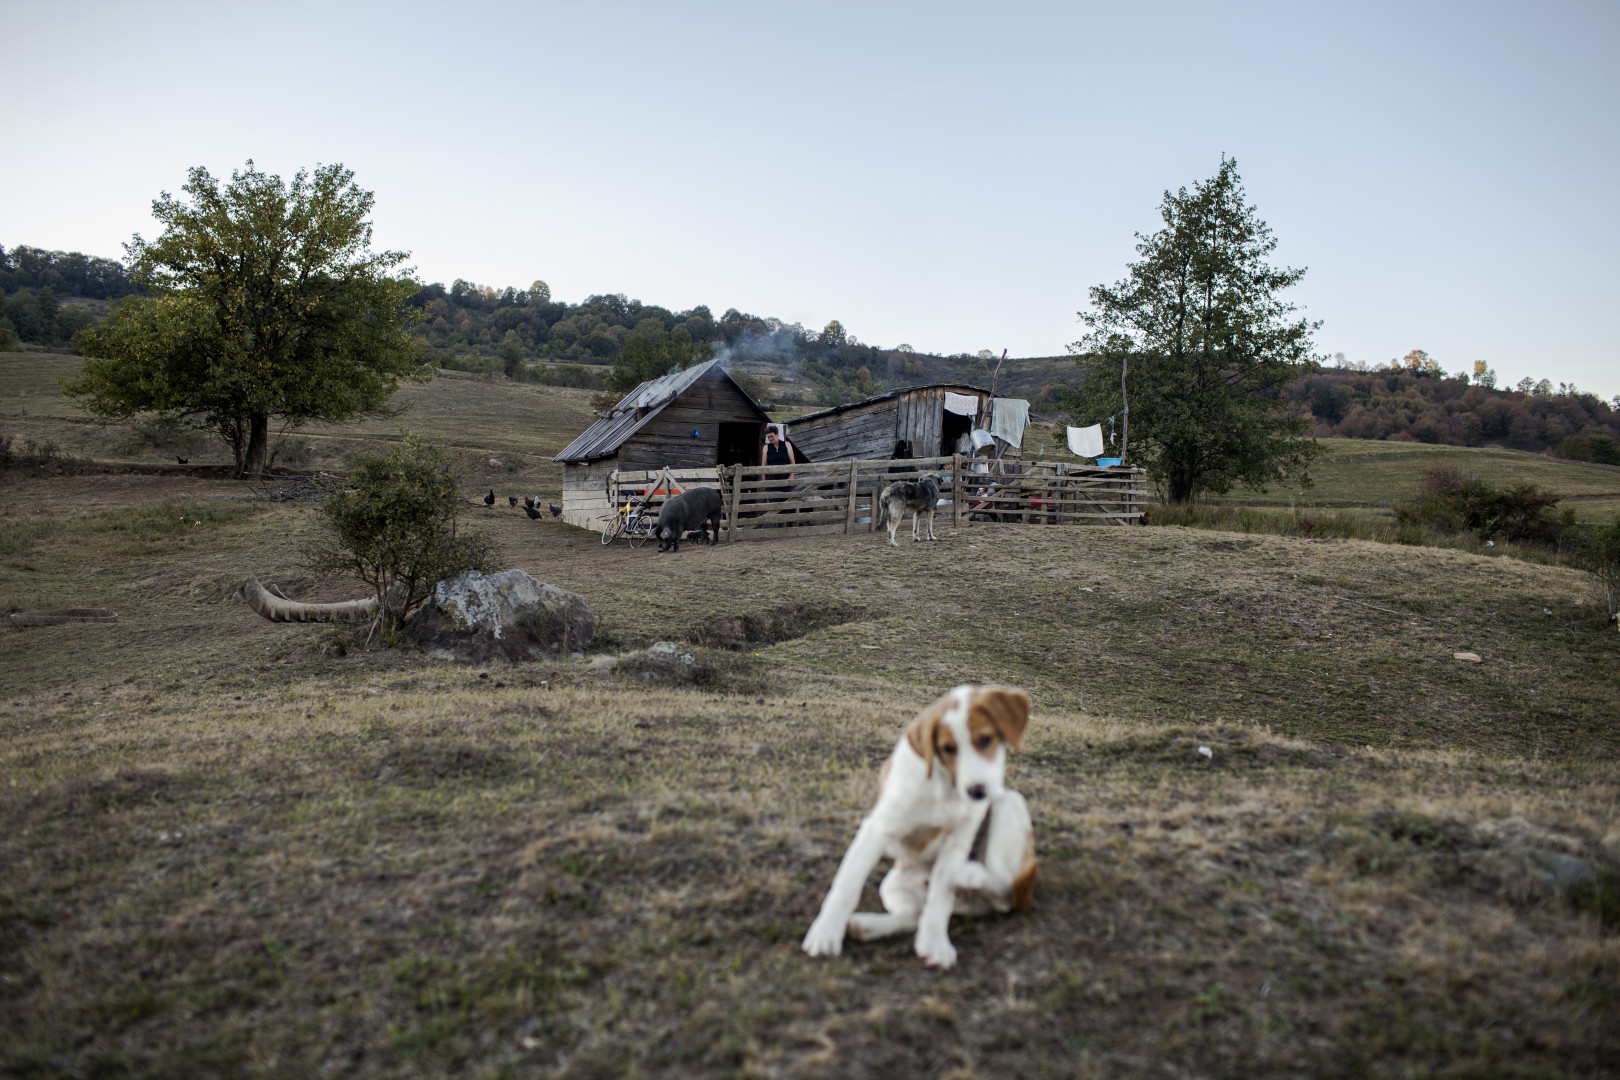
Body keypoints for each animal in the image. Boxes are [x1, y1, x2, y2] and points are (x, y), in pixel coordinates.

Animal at [800, 683, 1036, 971]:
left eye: (985, 740)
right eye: (948, 749)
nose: (977, 791)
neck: (943, 787)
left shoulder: (958, 838)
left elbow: (940, 897)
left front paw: (935, 942)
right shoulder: (877, 829)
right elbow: (847, 885)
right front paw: (825, 933)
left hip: (1008, 801)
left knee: (1006, 894)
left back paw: (968, 874)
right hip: (893, 884)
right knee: (916, 915)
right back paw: (865, 926)